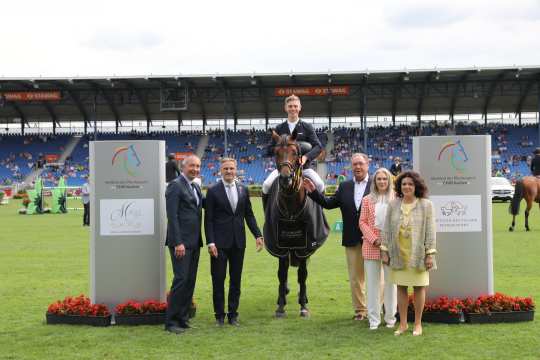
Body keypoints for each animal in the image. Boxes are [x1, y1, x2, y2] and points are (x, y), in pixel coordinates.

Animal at [262, 128, 330, 316]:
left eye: (295, 152)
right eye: (276, 152)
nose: (286, 179)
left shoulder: (305, 247)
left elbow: (302, 274)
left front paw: (303, 306)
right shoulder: (280, 246)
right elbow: (282, 274)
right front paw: (280, 306)